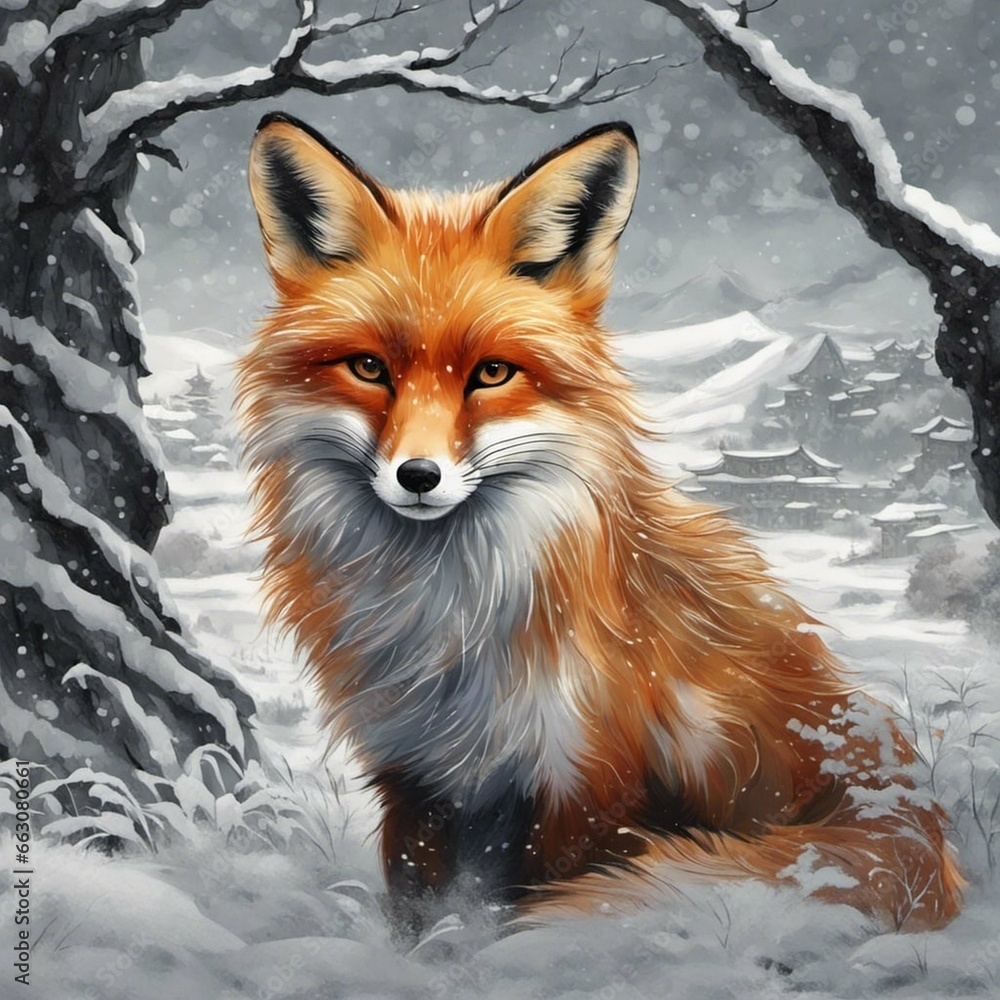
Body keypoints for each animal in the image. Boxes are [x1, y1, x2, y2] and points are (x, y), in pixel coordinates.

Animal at [237, 112, 962, 938]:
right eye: (367, 368)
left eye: (492, 374)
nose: (418, 477)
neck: (448, 623)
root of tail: (921, 830)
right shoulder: (412, 776)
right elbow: (416, 913)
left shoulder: (585, 780)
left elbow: (530, 904)